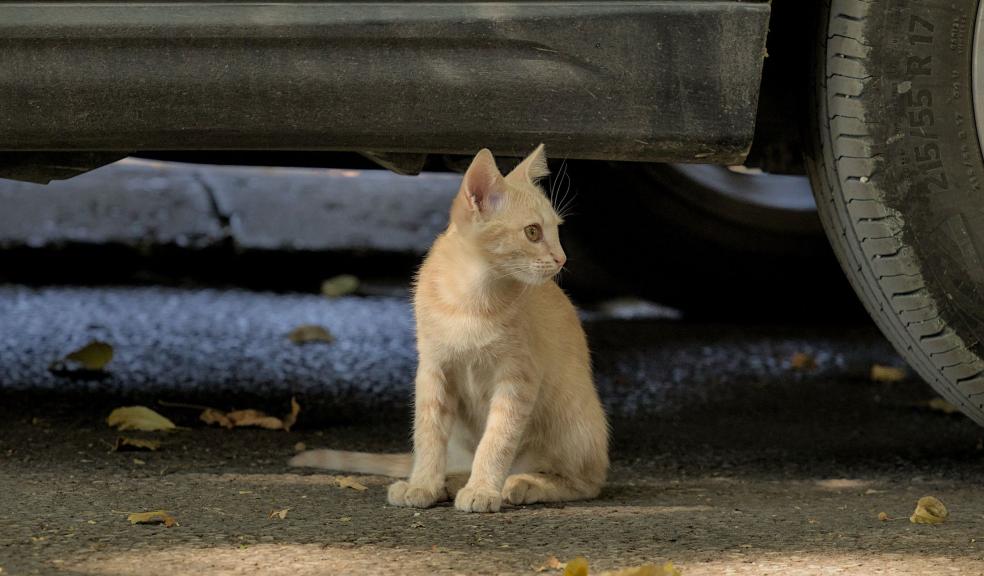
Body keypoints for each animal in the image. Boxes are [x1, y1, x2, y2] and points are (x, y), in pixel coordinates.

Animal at [288, 145, 608, 512]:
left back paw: (524, 483)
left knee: (586, 481)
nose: (561, 259)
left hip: (572, 421)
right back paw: (450, 481)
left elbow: (497, 438)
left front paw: (483, 488)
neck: (470, 297)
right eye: (532, 232)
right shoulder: (432, 368)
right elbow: (427, 433)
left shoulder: (518, 379)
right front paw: (424, 483)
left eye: (557, 229)